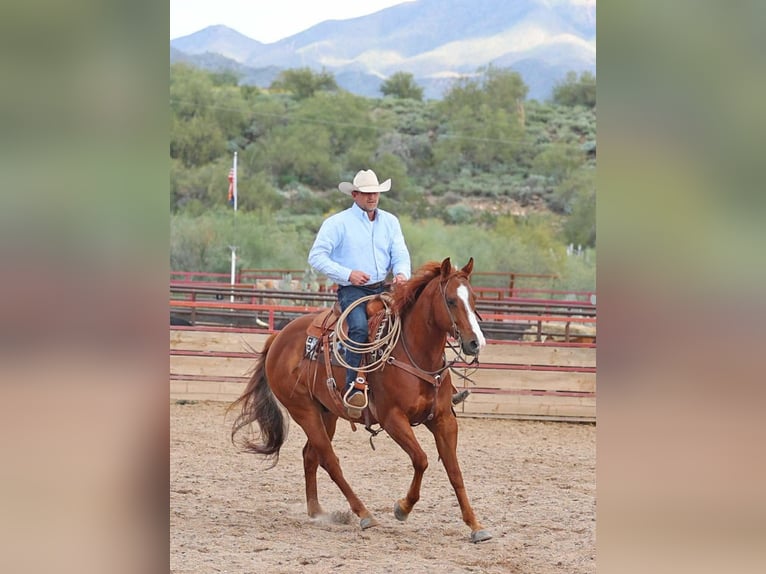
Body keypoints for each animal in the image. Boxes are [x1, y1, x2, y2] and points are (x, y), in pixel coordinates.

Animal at [228, 257, 492, 543]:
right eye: (451, 300)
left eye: (474, 299)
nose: (476, 343)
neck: (415, 354)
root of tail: (279, 338)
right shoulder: (393, 419)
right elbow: (421, 459)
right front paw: (402, 508)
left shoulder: (443, 420)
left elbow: (454, 472)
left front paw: (475, 525)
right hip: (303, 411)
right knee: (330, 461)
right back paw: (364, 514)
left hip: (326, 412)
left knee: (311, 455)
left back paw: (317, 511)